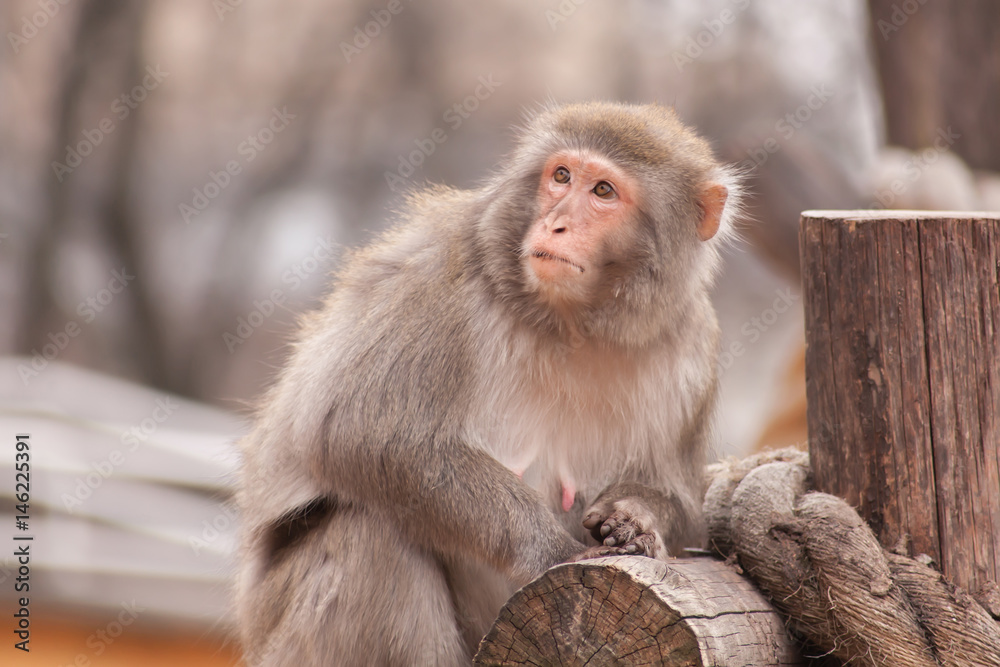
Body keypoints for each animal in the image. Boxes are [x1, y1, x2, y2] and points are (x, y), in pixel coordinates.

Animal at [235, 101, 740, 666]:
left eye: (604, 191)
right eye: (561, 177)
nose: (556, 224)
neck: (573, 323)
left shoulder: (693, 343)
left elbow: (686, 507)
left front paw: (635, 518)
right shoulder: (437, 272)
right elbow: (360, 430)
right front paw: (552, 551)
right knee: (368, 532)